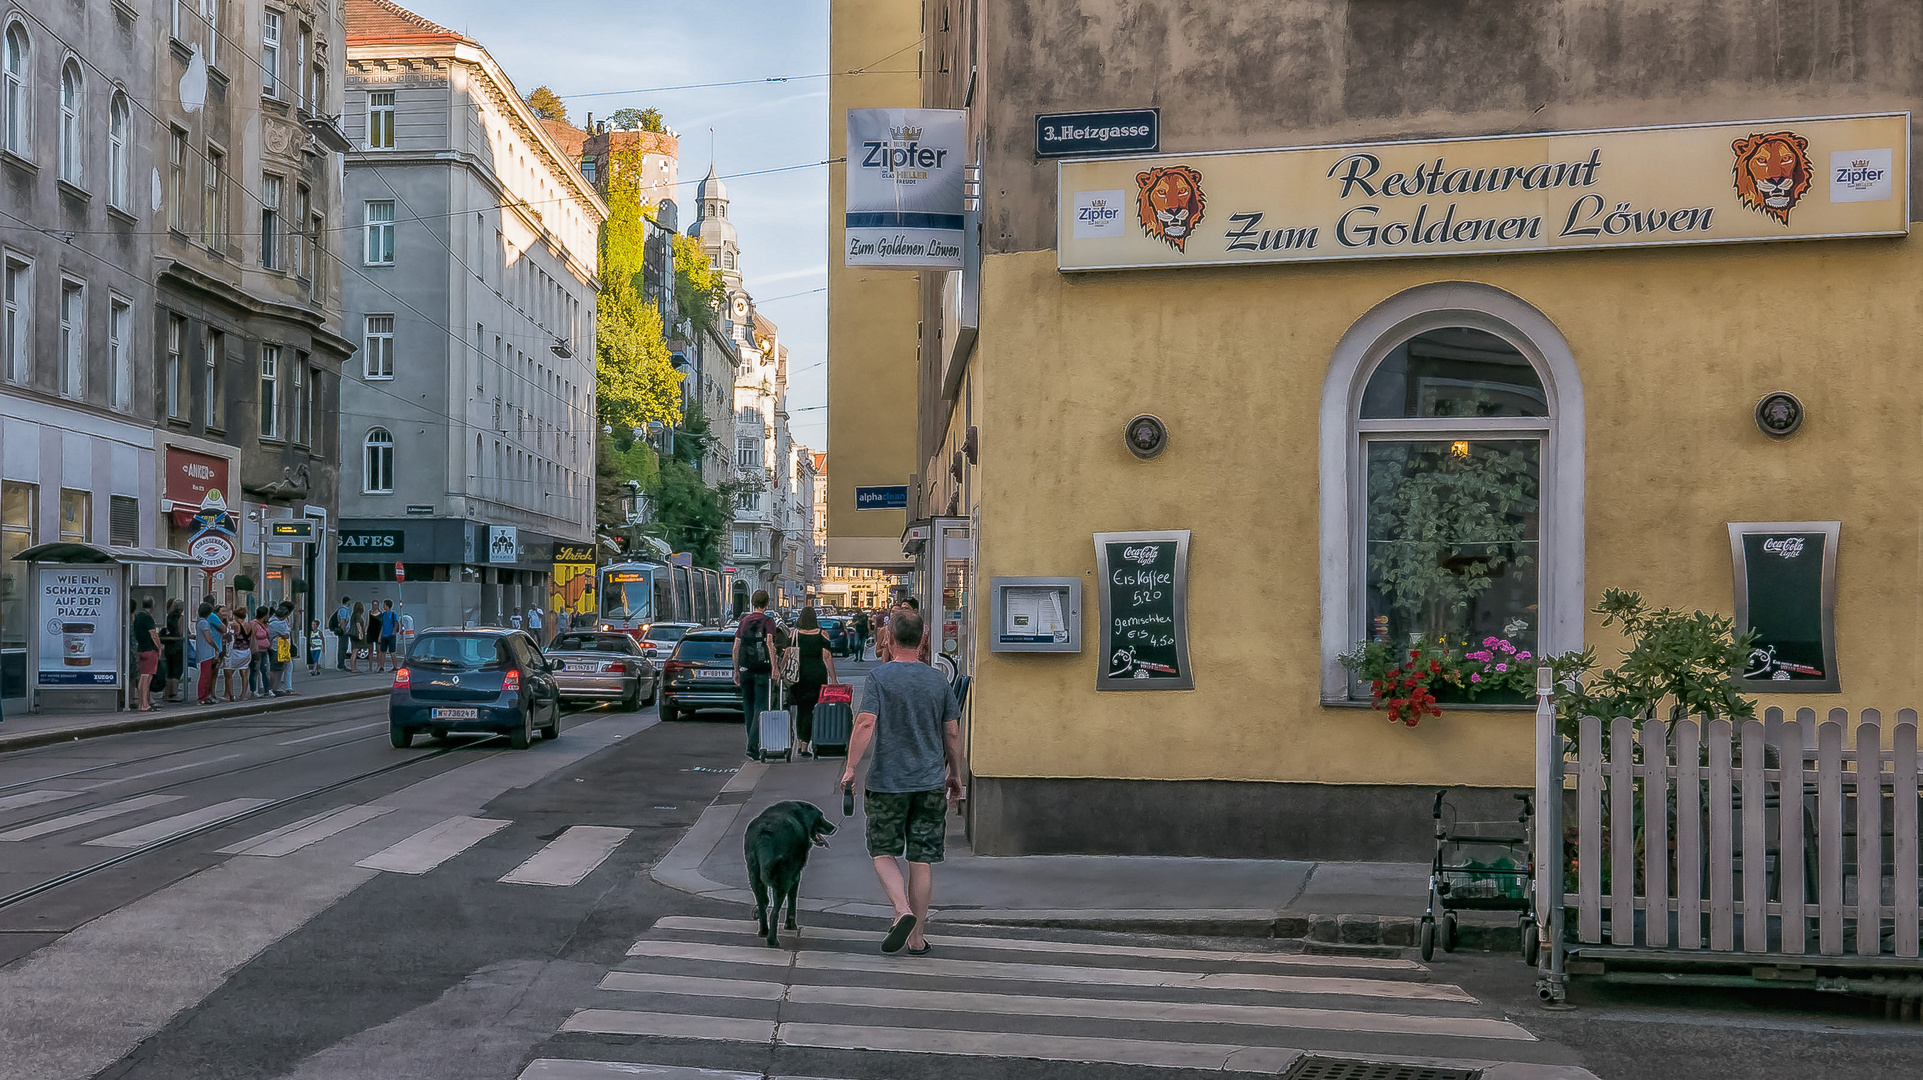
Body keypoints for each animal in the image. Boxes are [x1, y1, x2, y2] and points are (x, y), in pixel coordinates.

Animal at [742, 795, 834, 945]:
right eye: (821, 816)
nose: (834, 828)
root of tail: (765, 833)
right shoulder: (795, 876)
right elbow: (792, 901)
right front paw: (791, 925)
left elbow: (764, 902)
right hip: (782, 881)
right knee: (774, 913)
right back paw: (772, 941)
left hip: (755, 876)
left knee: (763, 905)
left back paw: (763, 931)